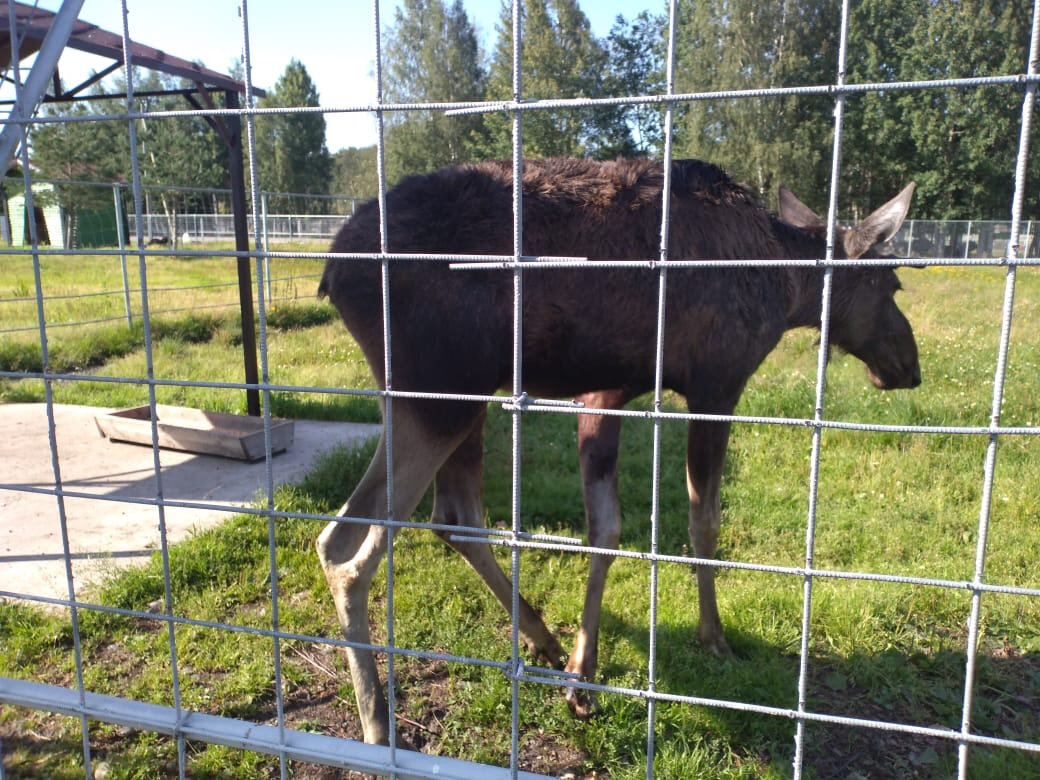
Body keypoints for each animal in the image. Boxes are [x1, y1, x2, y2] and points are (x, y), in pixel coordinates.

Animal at [316, 157, 919, 744]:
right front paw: (712, 637)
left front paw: (581, 670)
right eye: (892, 283)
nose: (910, 368)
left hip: (468, 399)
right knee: (344, 545)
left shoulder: (606, 390)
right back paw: (376, 721)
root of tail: (333, 272)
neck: (788, 283)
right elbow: (703, 524)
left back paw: (540, 637)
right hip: (436, 395)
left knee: (454, 518)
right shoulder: (717, 385)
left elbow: (605, 530)